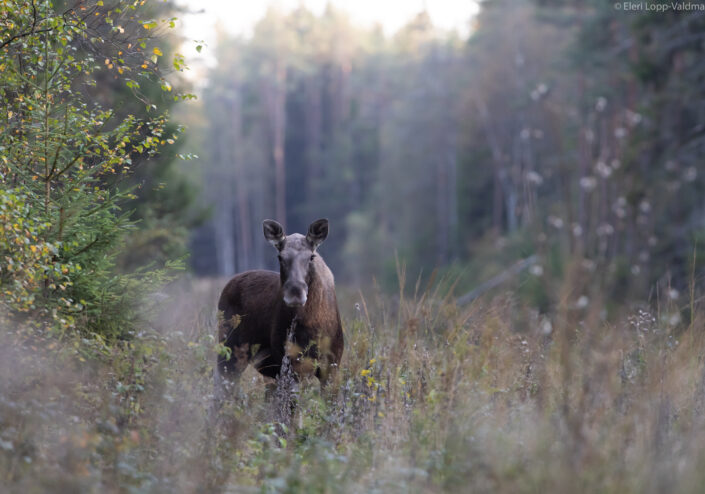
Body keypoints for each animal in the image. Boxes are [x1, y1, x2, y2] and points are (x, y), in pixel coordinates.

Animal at [217, 218, 344, 396]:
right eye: (280, 257)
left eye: (311, 256)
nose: (295, 292)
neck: (314, 324)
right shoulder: (290, 365)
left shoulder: (331, 366)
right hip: (228, 352)